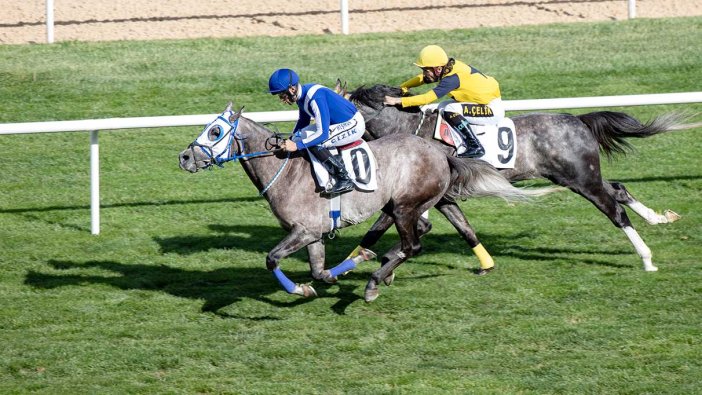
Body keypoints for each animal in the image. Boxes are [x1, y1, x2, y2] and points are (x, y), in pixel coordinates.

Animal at [179, 103, 552, 304]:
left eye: (215, 132)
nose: (184, 157)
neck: (284, 170)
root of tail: (441, 152)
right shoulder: (313, 234)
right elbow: (318, 270)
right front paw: (331, 276)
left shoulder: (305, 230)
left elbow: (272, 259)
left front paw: (303, 288)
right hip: (404, 205)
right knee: (421, 230)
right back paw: (381, 264)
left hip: (402, 207)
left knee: (412, 245)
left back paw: (375, 280)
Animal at [344, 84, 692, 272]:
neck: (407, 131)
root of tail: (577, 120)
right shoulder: (438, 197)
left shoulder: (414, 196)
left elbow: (381, 228)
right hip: (580, 176)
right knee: (618, 189)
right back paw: (658, 218)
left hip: (582, 180)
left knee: (615, 210)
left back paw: (646, 258)